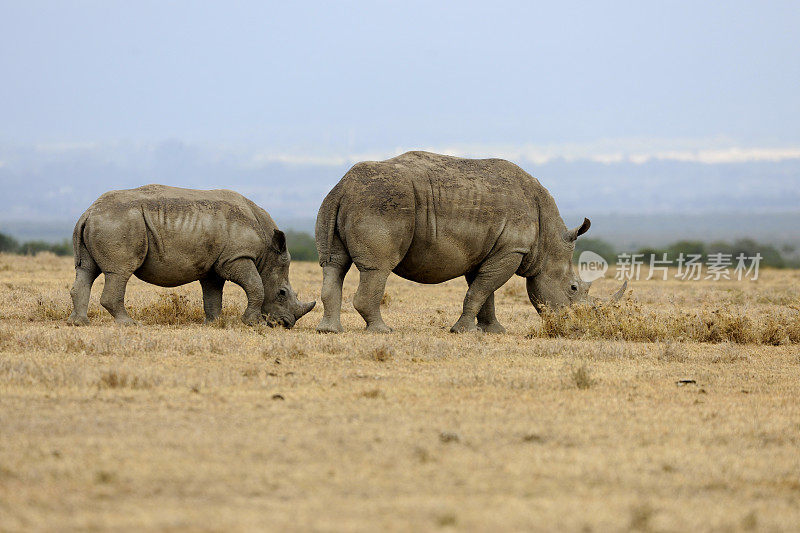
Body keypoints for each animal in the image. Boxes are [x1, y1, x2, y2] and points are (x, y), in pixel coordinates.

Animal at [67, 187, 316, 328]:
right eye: (282, 293)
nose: (286, 324)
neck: (267, 252)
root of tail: (88, 212)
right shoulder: (237, 258)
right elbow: (256, 286)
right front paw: (253, 324)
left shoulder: (215, 265)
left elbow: (213, 295)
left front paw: (214, 323)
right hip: (118, 222)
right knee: (119, 272)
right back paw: (129, 324)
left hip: (104, 221)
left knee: (86, 270)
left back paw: (79, 323)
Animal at [318, 151, 624, 332]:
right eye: (573, 288)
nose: (577, 326)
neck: (548, 241)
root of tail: (343, 187)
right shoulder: (511, 249)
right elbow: (481, 290)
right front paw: (462, 330)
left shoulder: (488, 250)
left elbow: (484, 291)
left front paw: (493, 331)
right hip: (381, 201)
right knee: (378, 268)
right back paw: (383, 330)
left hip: (340, 200)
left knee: (334, 264)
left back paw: (329, 330)